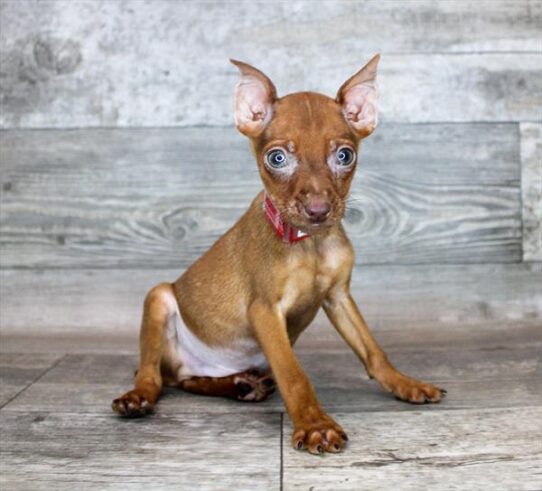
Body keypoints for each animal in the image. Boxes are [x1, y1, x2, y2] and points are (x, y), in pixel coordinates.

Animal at [111, 57, 446, 458]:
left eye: (344, 155)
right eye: (277, 158)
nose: (318, 210)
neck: (309, 245)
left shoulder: (338, 297)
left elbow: (372, 349)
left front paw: (404, 383)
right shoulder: (265, 311)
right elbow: (293, 373)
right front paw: (315, 425)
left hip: (198, 365)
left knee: (186, 380)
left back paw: (240, 385)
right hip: (158, 297)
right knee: (155, 376)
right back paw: (140, 396)